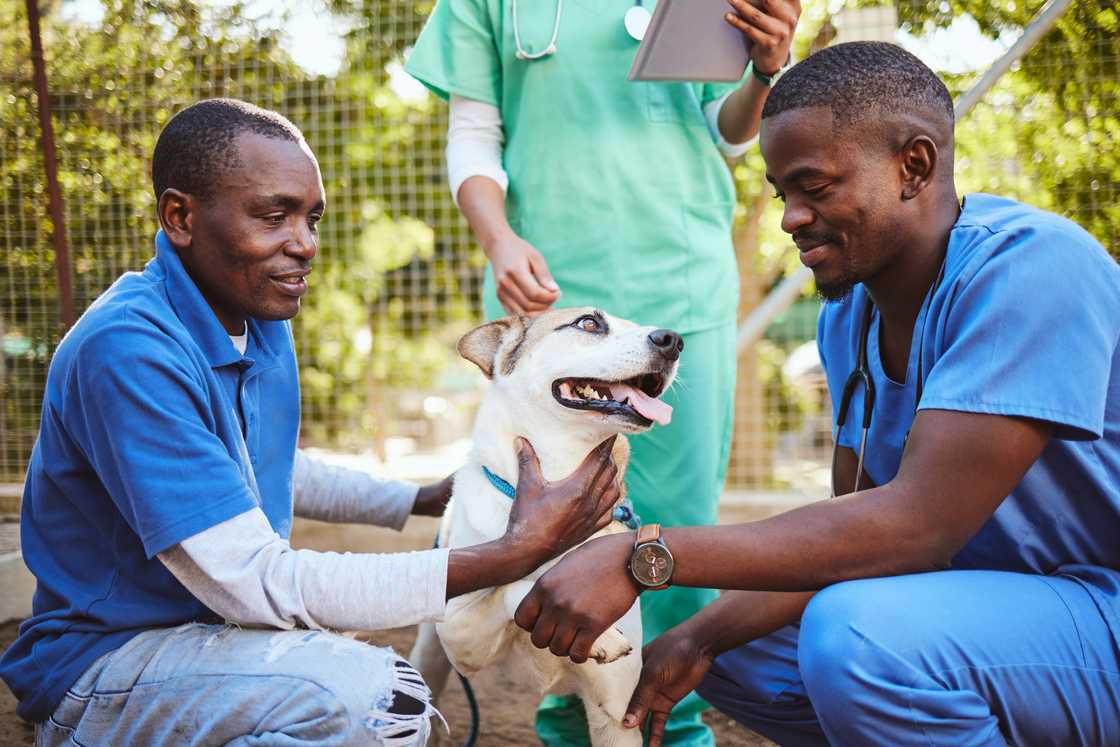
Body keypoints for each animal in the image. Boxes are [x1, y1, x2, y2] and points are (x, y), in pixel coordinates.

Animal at [407, 306, 676, 743]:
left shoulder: (616, 713)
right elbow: (517, 588)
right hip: (430, 653)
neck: (558, 472)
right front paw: (597, 632)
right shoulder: (462, 637)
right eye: (588, 323)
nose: (674, 340)